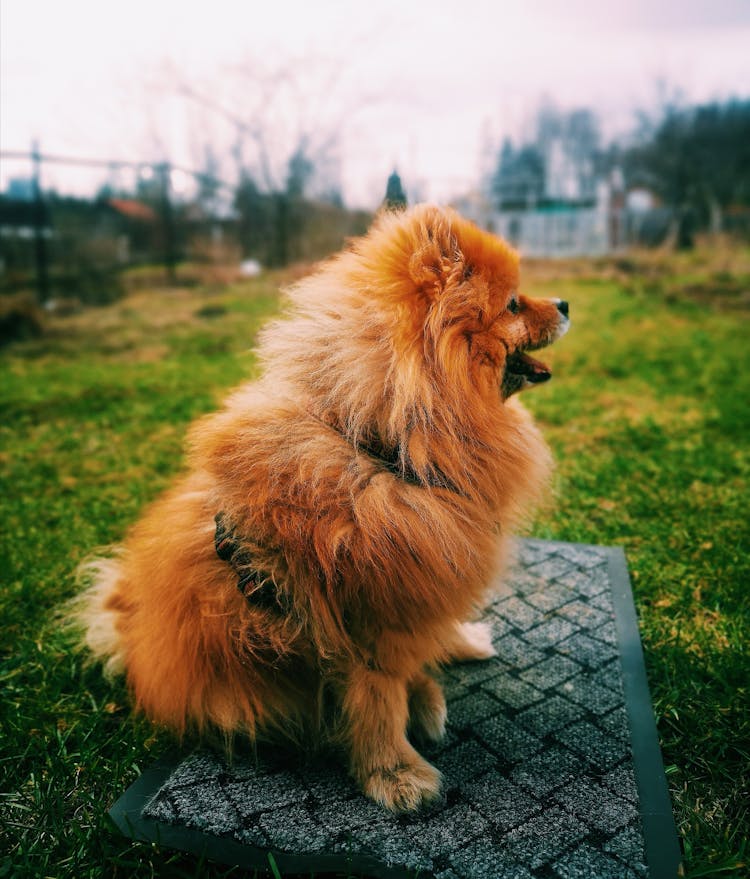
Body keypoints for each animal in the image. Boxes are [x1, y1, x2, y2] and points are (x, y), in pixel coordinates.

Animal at [79, 205, 568, 812]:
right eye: (514, 304)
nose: (567, 304)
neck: (385, 448)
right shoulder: (365, 617)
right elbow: (378, 700)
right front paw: (397, 776)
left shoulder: (413, 579)